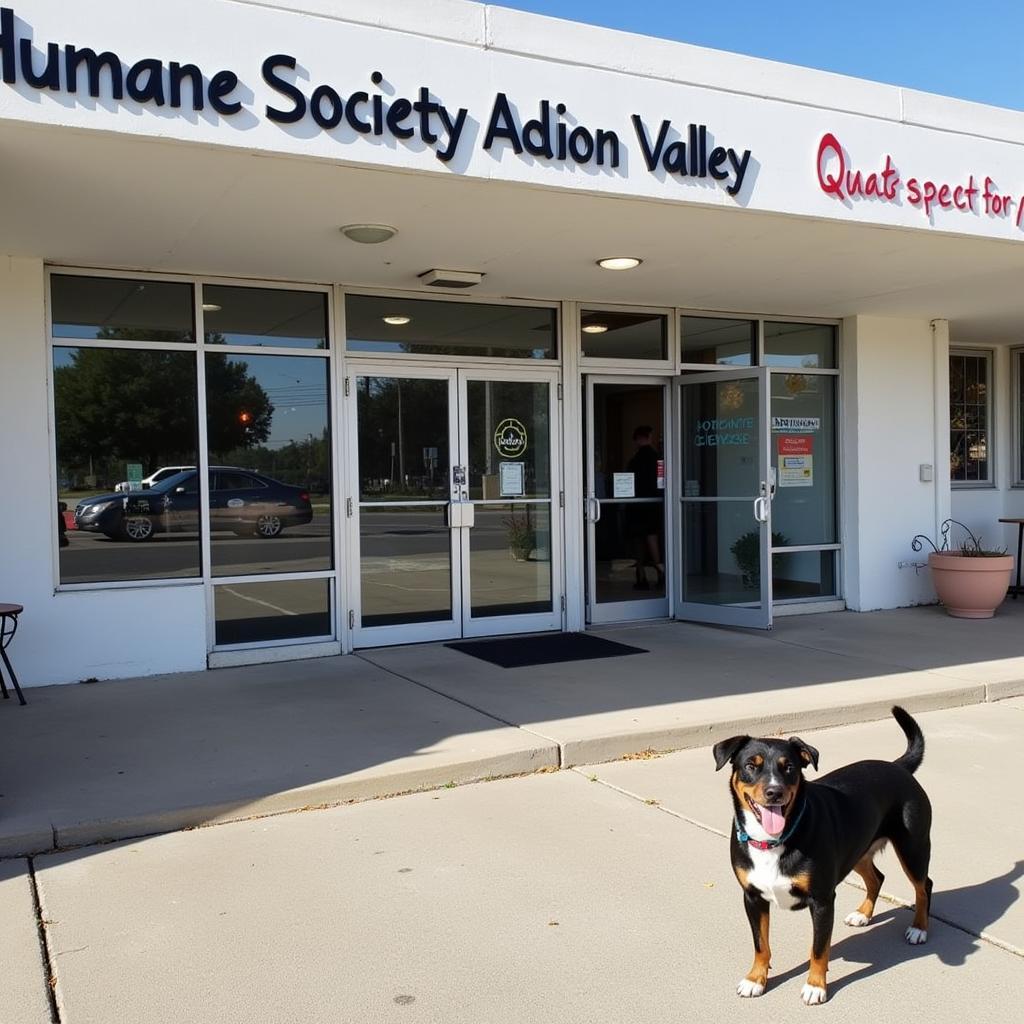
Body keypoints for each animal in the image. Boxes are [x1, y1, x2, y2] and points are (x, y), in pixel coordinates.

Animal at [716, 708, 933, 1003]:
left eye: (789, 767)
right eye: (751, 765)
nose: (774, 792)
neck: (773, 841)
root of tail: (898, 766)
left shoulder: (822, 900)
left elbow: (819, 949)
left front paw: (815, 986)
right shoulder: (752, 897)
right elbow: (761, 944)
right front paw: (755, 979)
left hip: (913, 848)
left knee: (924, 886)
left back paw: (919, 928)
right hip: (858, 851)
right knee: (877, 878)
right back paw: (863, 914)